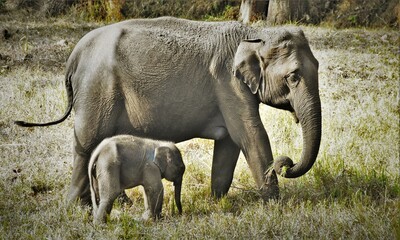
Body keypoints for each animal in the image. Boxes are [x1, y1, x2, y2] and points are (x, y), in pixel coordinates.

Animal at [15, 16, 322, 204]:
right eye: (293, 77)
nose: (286, 164)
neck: (254, 33)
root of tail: (75, 54)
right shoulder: (229, 84)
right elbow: (251, 135)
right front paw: (275, 204)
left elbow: (229, 143)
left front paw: (218, 201)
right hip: (97, 89)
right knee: (87, 143)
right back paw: (79, 207)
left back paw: (118, 203)